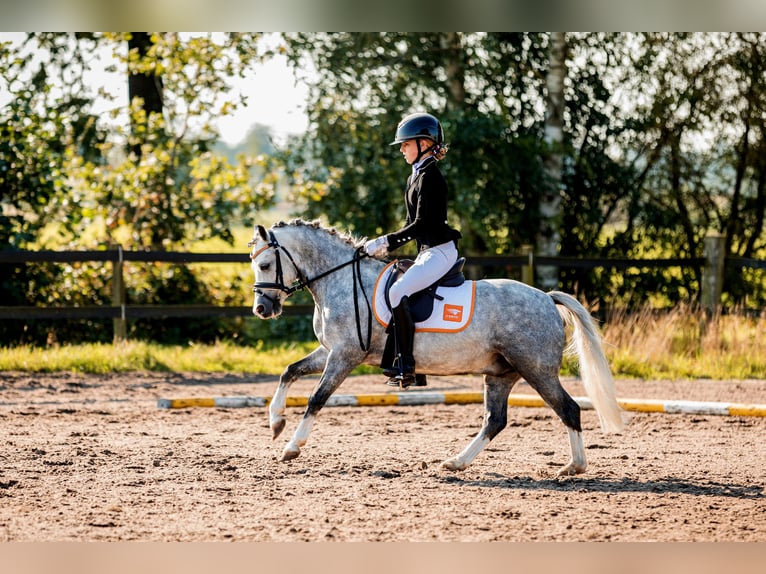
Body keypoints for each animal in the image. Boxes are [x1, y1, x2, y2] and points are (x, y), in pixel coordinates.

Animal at [249, 220, 628, 476]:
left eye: (265, 265)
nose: (262, 309)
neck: (340, 279)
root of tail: (547, 299)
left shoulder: (345, 355)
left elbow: (316, 398)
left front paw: (291, 447)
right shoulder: (330, 351)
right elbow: (289, 372)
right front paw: (275, 422)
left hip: (536, 369)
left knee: (569, 409)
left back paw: (574, 467)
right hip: (501, 373)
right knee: (495, 420)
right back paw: (456, 462)